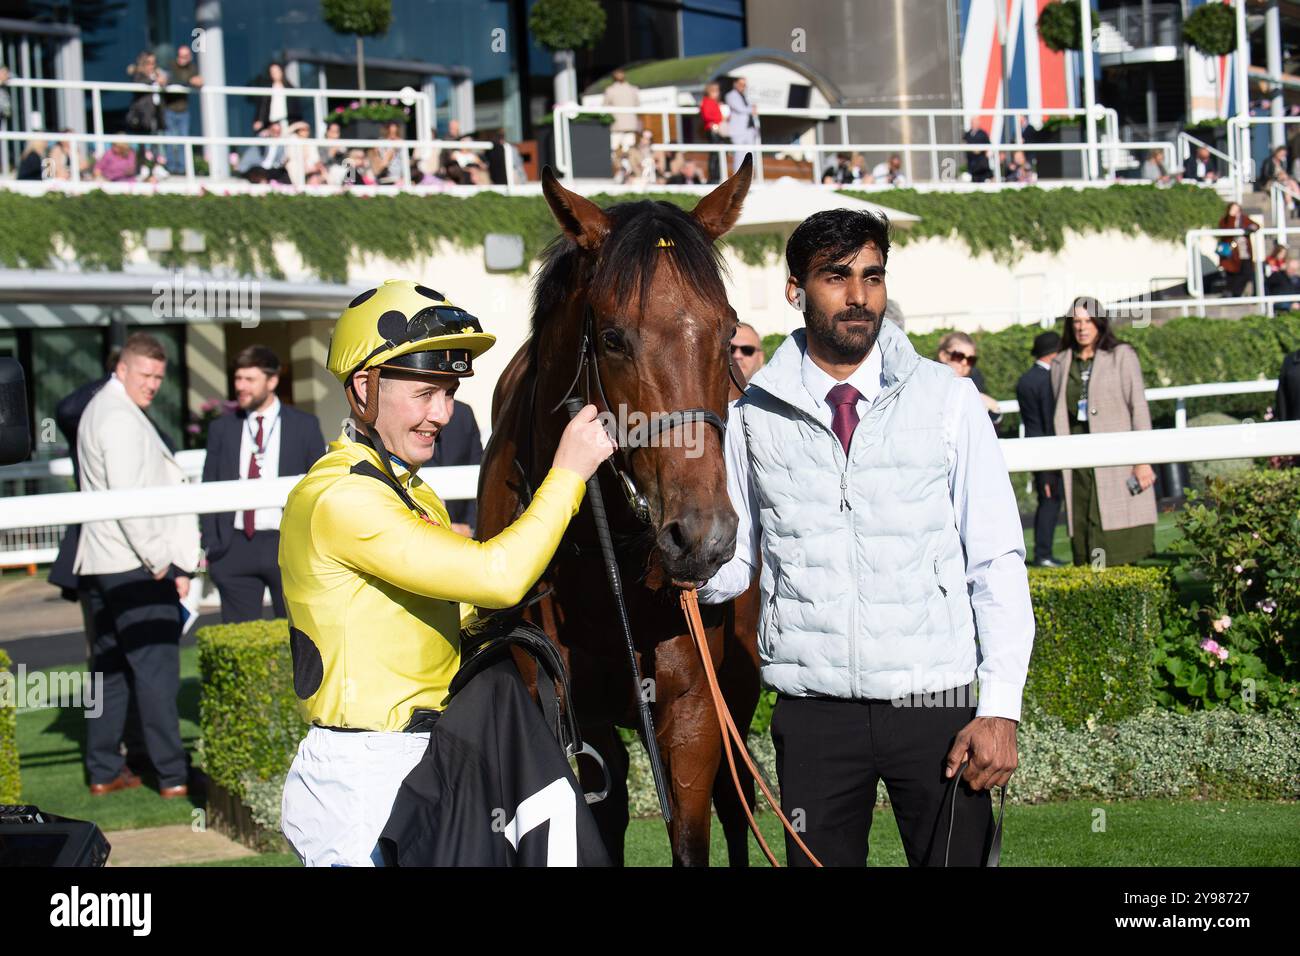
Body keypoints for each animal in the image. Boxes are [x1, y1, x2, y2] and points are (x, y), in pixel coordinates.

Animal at [475, 158, 759, 868]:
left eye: (727, 335)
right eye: (611, 337)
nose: (703, 535)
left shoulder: (695, 709)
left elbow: (693, 831)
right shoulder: (565, 704)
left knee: (738, 800)